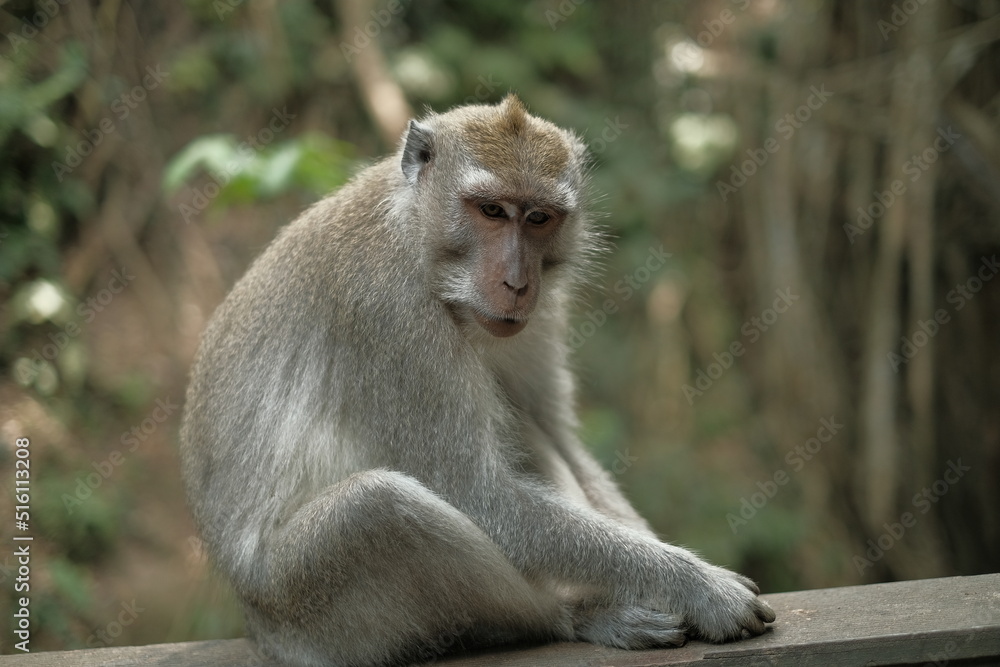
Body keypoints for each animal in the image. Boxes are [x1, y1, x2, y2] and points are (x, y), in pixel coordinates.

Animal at [179, 94, 774, 667]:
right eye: (490, 210)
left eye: (539, 218)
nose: (516, 282)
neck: (415, 235)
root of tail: (261, 633)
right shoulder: (387, 310)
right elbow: (476, 493)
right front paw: (697, 586)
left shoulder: (540, 311)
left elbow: (555, 433)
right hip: (306, 610)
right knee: (375, 509)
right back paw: (574, 614)